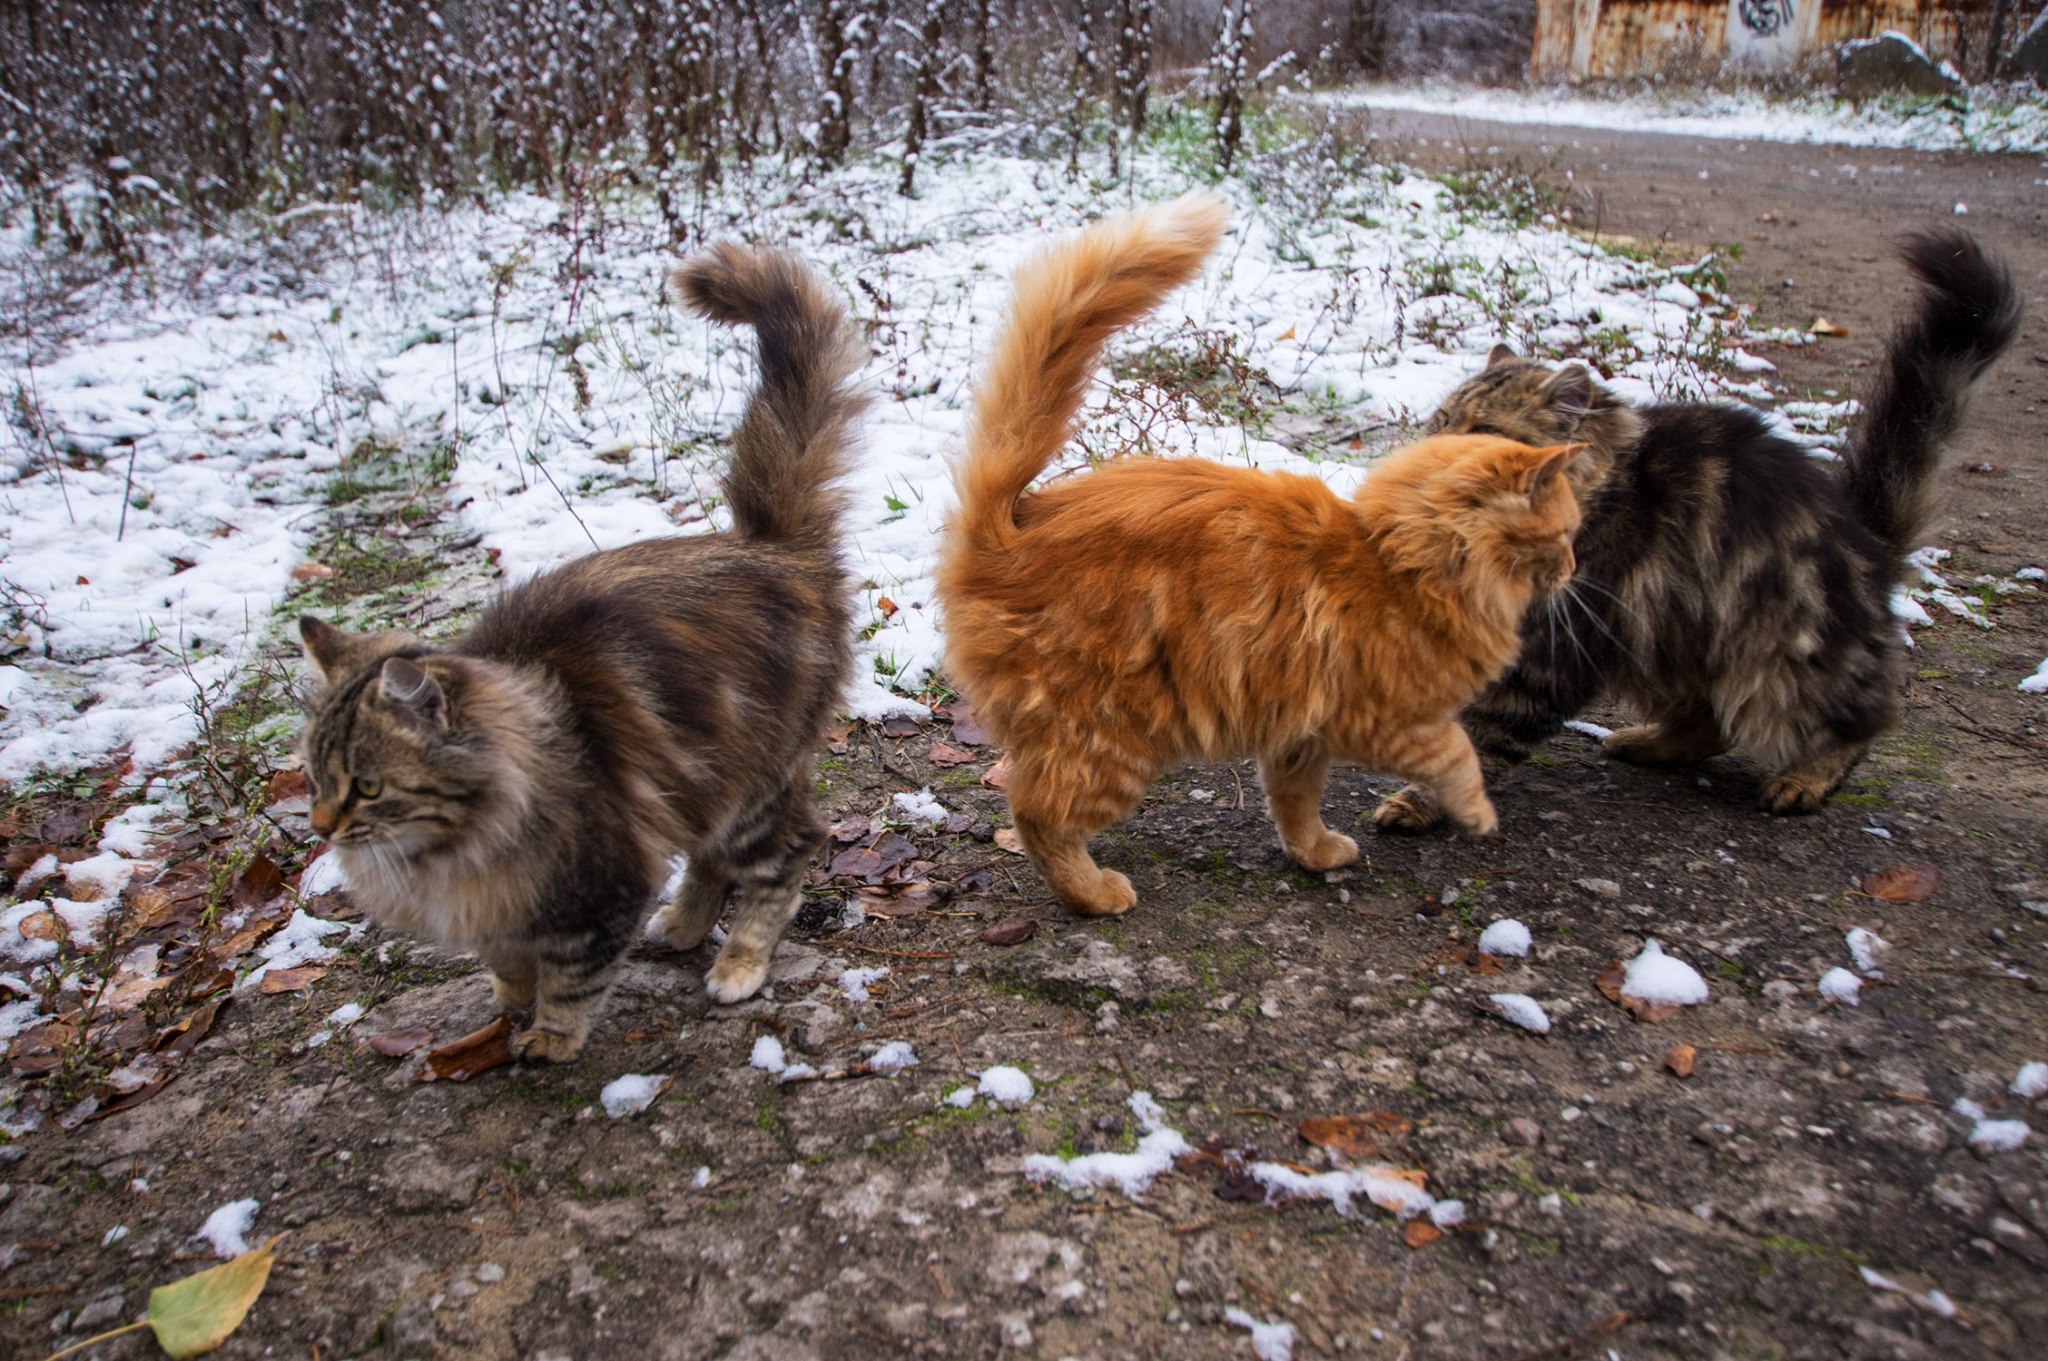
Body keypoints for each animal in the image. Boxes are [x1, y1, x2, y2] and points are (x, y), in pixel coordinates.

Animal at [294, 244, 864, 1064]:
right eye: (313, 779)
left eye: (368, 787)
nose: (319, 827)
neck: (452, 847)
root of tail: (768, 548)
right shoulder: (502, 908)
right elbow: (507, 963)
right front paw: (508, 1007)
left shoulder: (598, 885)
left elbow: (571, 977)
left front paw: (549, 1039)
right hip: (703, 781)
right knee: (713, 859)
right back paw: (682, 926)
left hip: (749, 784)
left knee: (789, 854)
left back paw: (738, 965)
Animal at [937, 196, 1589, 912]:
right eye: (1565, 533)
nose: (1574, 568)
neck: (1400, 559)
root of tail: (1007, 529)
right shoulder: (1393, 718)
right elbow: (1460, 755)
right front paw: (1477, 814)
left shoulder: (1299, 730)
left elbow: (1295, 803)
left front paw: (1315, 853)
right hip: (1108, 738)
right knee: (1036, 812)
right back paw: (1095, 893)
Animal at [1368, 227, 2023, 822]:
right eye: (1441, 422)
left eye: (1480, 433)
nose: (1424, 459)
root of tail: (1866, 539)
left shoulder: (1553, 648)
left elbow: (1480, 741)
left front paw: (1422, 801)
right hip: (1675, 636)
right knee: (1711, 722)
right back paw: (1647, 743)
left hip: (1779, 664)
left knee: (1856, 721)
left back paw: (1805, 778)